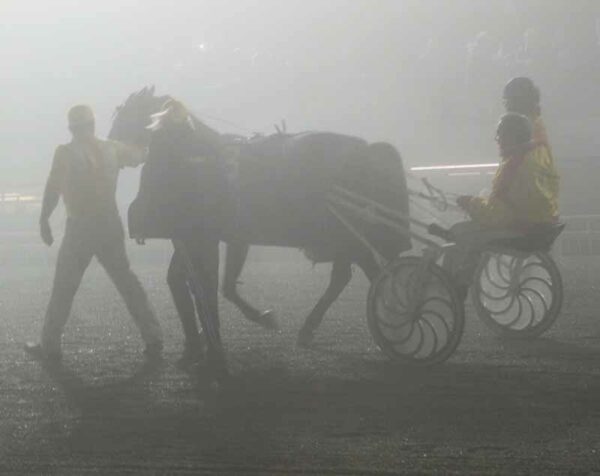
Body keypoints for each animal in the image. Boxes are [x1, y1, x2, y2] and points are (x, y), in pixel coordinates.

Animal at [108, 85, 410, 376]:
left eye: (125, 115)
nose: (111, 146)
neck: (199, 161)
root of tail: (367, 151)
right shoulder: (212, 238)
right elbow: (203, 284)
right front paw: (200, 344)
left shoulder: (210, 239)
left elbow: (210, 286)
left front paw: (216, 350)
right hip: (347, 239)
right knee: (354, 276)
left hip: (348, 237)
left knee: (369, 275)